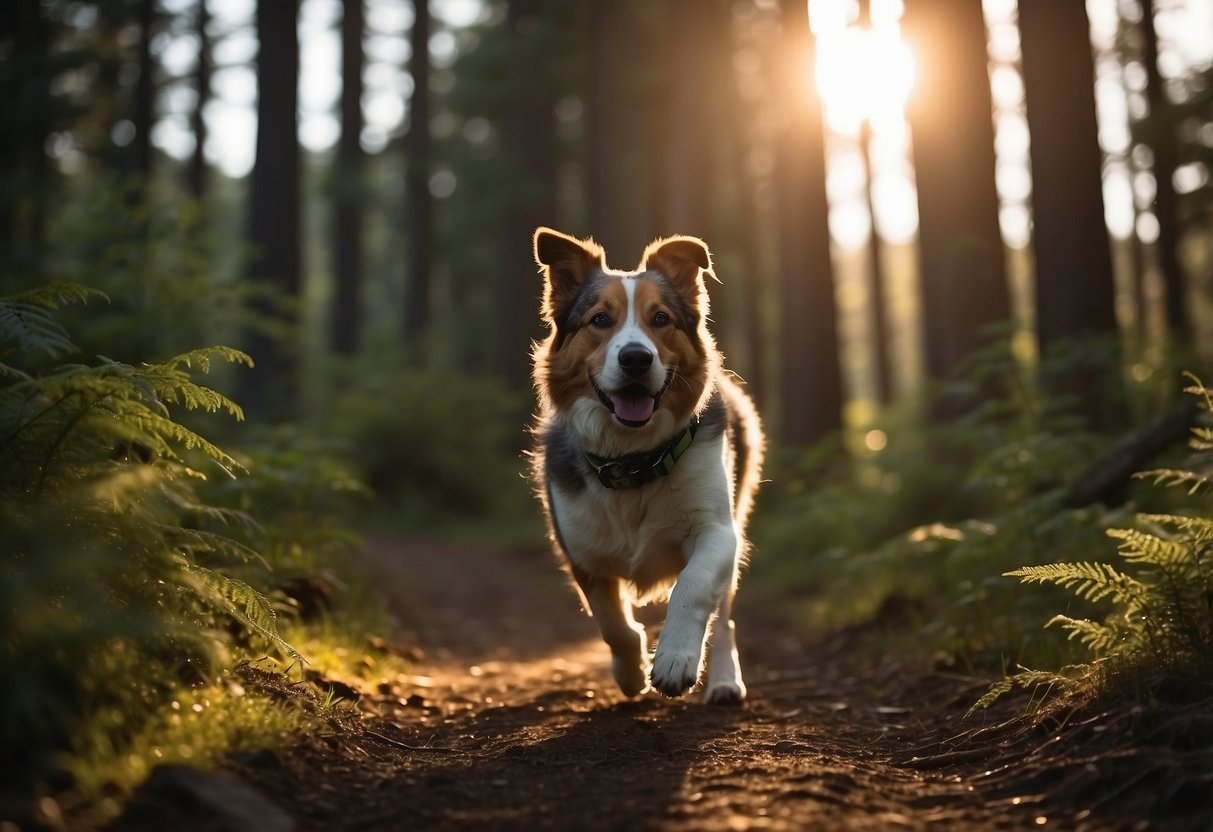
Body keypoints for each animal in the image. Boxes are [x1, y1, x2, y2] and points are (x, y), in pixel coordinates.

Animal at [528, 226, 761, 703]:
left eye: (661, 319)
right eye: (600, 319)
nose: (635, 357)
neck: (633, 462)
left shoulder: (718, 532)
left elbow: (693, 587)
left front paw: (674, 660)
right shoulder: (580, 551)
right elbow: (611, 623)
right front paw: (630, 673)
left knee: (724, 616)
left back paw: (725, 681)